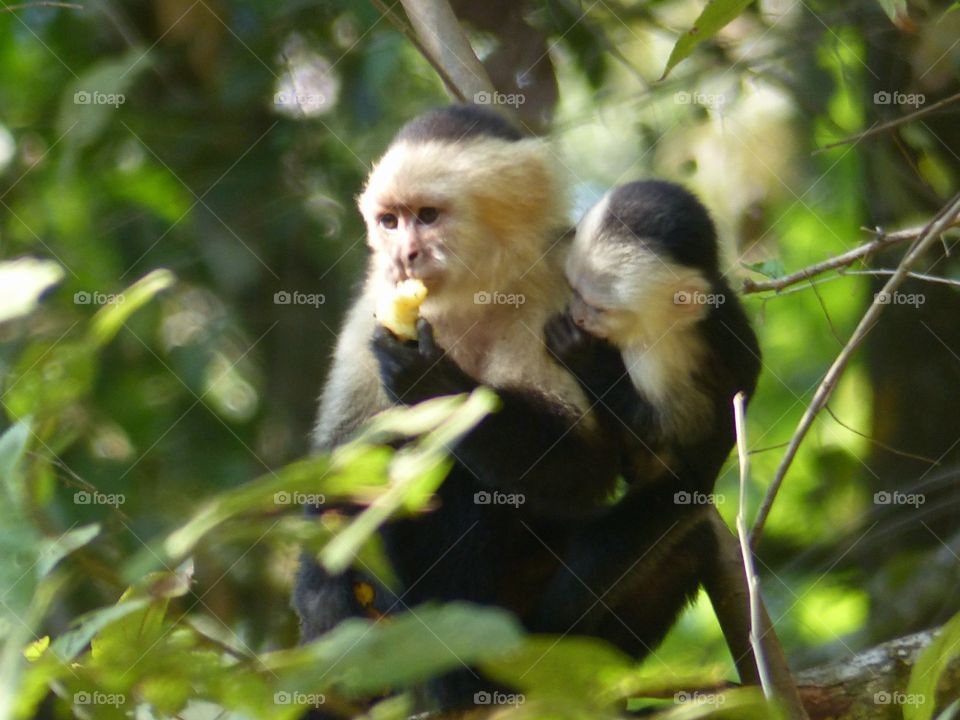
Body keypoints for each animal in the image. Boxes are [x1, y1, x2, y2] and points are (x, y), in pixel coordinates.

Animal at [531, 179, 762, 658]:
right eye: (572, 288)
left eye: (599, 308)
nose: (577, 315)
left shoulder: (669, 351)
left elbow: (665, 426)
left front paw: (580, 352)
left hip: (673, 498)